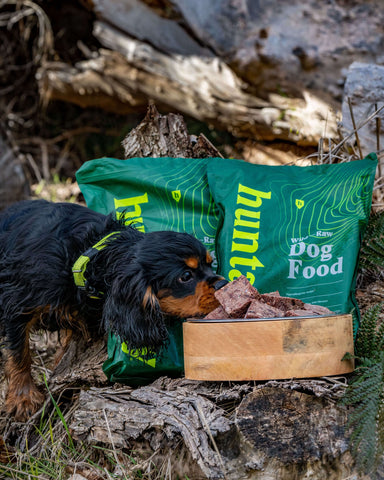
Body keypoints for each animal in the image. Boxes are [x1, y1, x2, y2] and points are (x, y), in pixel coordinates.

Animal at [0, 199, 225, 420]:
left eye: (209, 264)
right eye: (185, 276)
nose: (223, 284)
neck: (87, 254)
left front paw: (58, 366)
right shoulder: (16, 302)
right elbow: (19, 352)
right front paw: (23, 397)